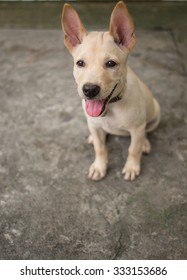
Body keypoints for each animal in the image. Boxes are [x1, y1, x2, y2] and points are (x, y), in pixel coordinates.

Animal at [61, 1, 161, 180]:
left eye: (111, 64)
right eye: (80, 63)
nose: (89, 90)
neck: (111, 107)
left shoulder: (136, 129)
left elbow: (133, 149)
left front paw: (131, 167)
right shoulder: (94, 125)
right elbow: (100, 148)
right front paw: (99, 166)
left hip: (155, 112)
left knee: (147, 131)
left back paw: (145, 143)